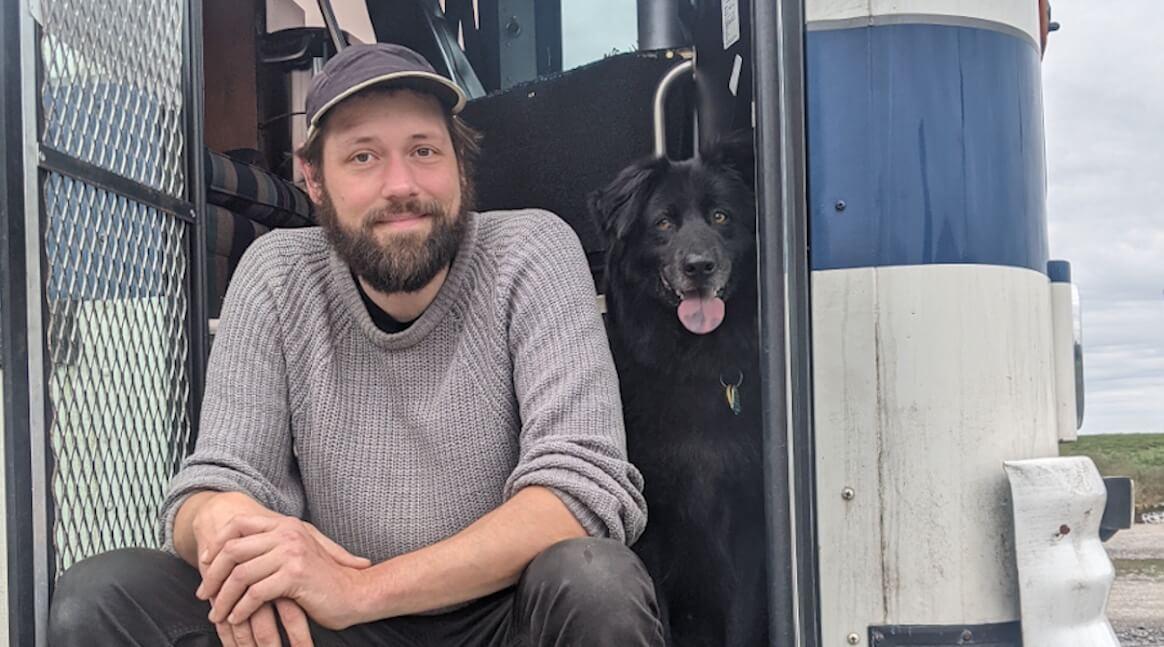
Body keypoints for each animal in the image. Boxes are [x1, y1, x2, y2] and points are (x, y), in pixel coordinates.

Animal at [591, 133, 763, 642]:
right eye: (663, 223)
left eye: (721, 216)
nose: (699, 266)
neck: (691, 361)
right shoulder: (650, 524)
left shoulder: (748, 520)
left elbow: (743, 619)